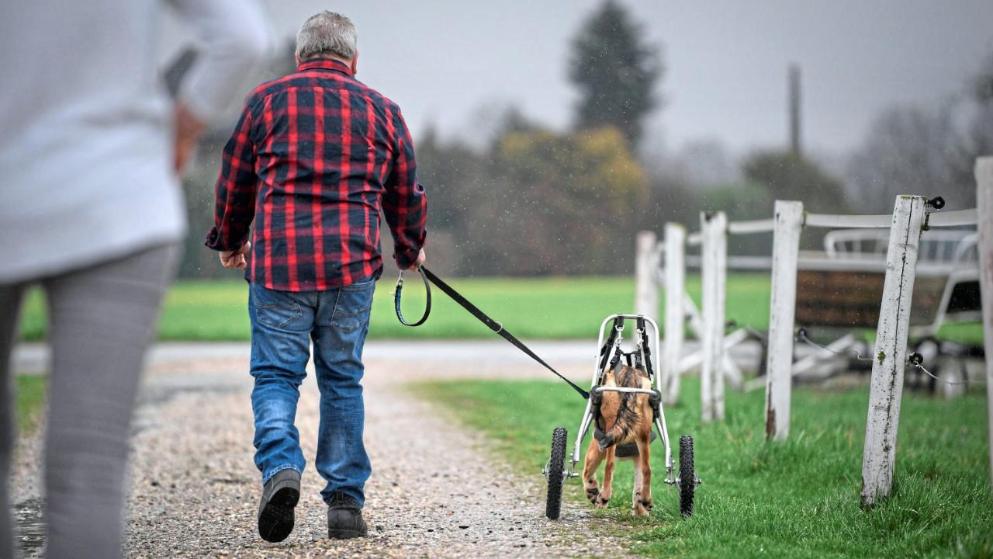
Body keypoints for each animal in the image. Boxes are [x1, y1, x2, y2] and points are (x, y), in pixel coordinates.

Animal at [576, 366, 656, 520]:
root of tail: (630, 374)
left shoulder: (596, 448)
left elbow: (586, 473)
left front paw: (592, 491)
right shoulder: (638, 456)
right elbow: (638, 485)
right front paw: (641, 508)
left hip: (611, 427)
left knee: (609, 466)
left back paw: (604, 496)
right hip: (643, 435)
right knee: (647, 470)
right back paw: (646, 499)